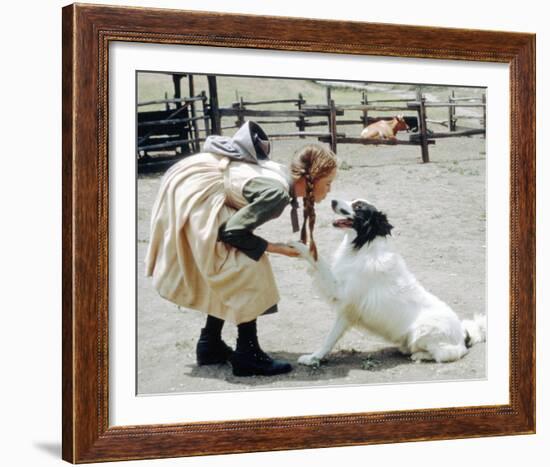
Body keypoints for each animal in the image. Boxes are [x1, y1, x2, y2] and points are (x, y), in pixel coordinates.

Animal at [294, 199, 488, 368]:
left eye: (358, 207)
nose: (333, 200)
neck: (363, 247)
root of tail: (464, 335)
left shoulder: (344, 301)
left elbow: (329, 338)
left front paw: (312, 358)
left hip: (423, 331)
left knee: (448, 354)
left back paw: (418, 355)